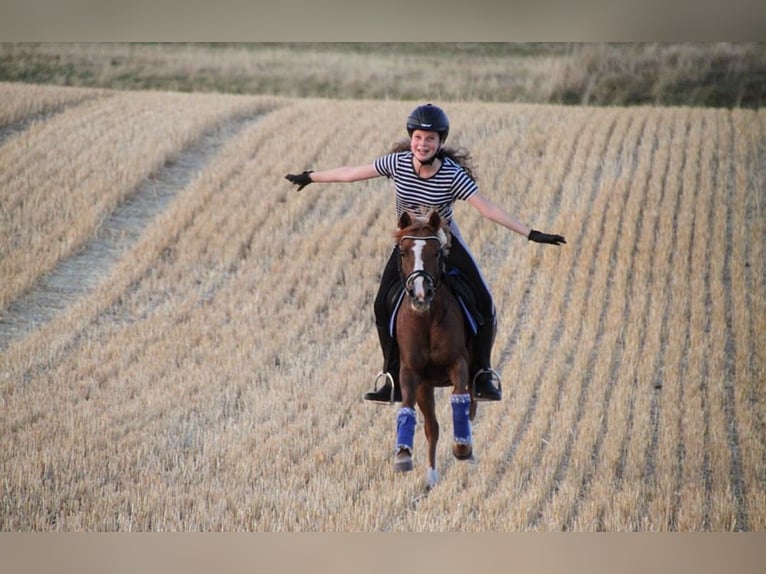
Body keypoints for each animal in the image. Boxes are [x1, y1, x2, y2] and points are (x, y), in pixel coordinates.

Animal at [392, 209, 476, 488]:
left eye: (436, 253)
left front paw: (462, 447)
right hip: (426, 387)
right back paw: (431, 475)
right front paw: (403, 455)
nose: (420, 293)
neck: (426, 319)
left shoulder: (458, 363)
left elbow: (460, 397)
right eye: (403, 252)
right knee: (432, 426)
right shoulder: (412, 372)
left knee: (472, 402)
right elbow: (410, 407)